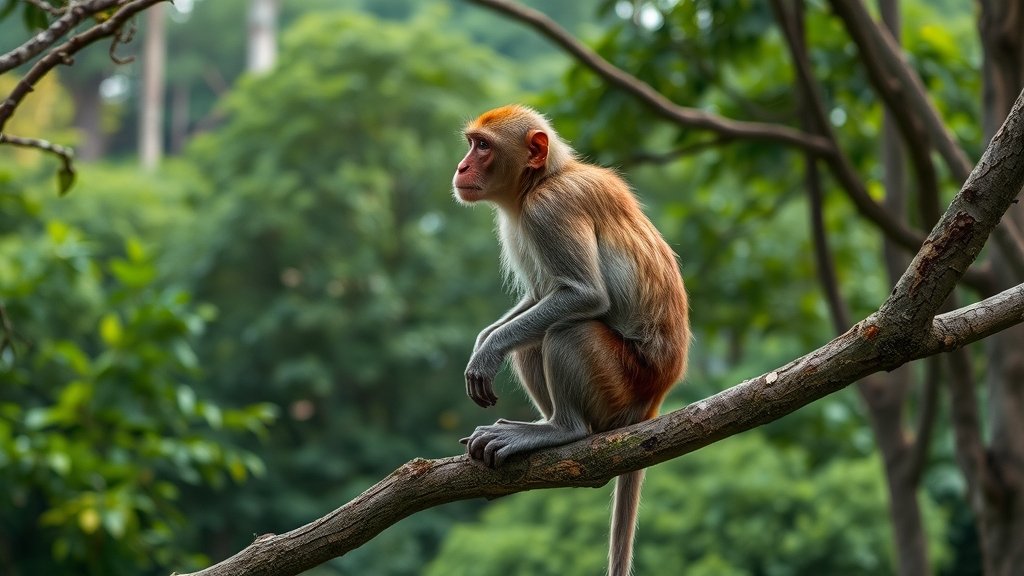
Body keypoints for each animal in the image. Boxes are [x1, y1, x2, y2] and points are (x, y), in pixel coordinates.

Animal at [451, 104, 689, 576]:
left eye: (482, 146)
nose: (461, 167)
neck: (540, 181)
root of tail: (656, 395)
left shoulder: (548, 212)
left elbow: (583, 295)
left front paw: (487, 352)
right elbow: (540, 297)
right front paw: (483, 341)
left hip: (624, 381)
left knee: (567, 330)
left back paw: (563, 430)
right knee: (532, 339)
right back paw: (540, 426)